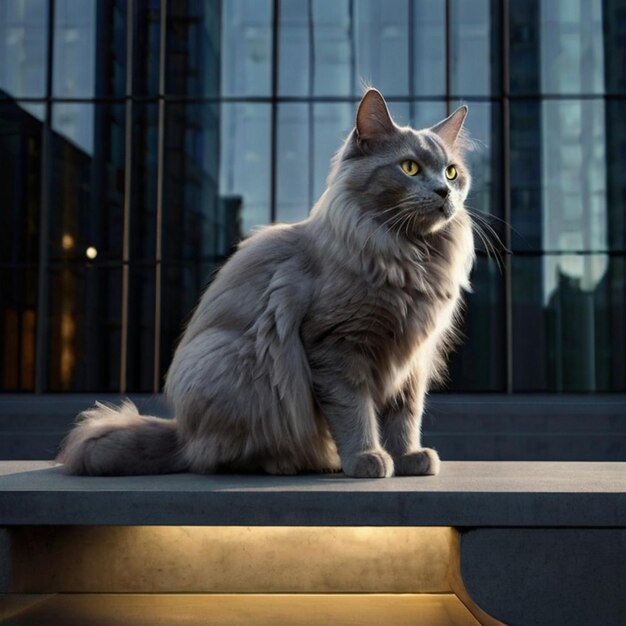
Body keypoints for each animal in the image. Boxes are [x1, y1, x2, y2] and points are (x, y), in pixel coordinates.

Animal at [58, 89, 472, 478]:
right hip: (237, 363)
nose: (443, 191)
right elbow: (355, 413)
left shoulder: (412, 361)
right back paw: (288, 462)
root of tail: (182, 433)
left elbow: (404, 418)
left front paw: (408, 458)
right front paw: (366, 458)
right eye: (410, 168)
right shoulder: (337, 347)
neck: (408, 255)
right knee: (214, 458)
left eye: (451, 173)